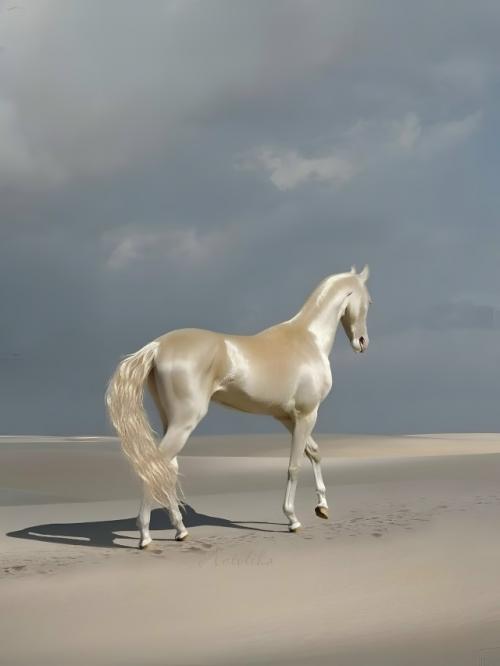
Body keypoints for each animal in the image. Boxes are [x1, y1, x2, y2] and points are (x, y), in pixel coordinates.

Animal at [105, 265, 371, 548]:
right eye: (369, 302)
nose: (362, 342)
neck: (308, 340)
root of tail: (157, 346)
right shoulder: (307, 414)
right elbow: (295, 466)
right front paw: (292, 519)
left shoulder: (287, 417)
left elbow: (315, 453)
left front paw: (322, 507)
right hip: (184, 422)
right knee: (154, 467)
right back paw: (145, 536)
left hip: (171, 421)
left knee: (166, 469)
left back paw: (180, 530)